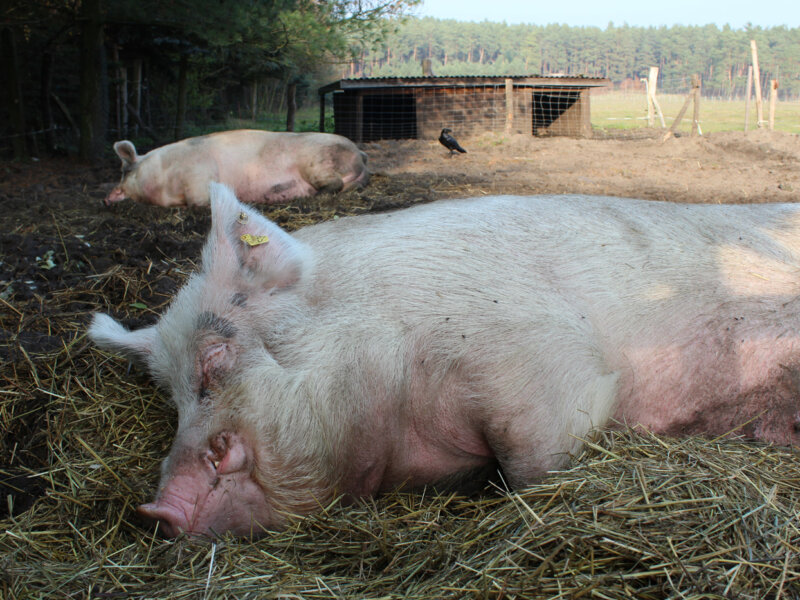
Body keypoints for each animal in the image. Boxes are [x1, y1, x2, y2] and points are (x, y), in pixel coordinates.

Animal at [104, 130, 370, 207]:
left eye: (125, 171)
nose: (107, 198)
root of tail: (360, 154)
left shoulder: (199, 175)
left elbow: (198, 201)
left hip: (316, 162)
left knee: (334, 184)